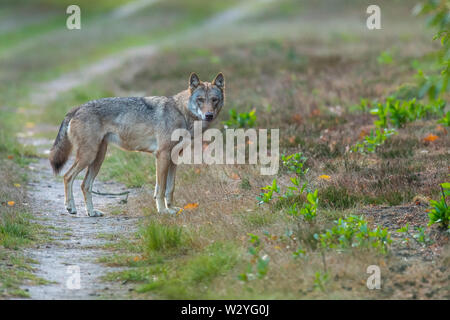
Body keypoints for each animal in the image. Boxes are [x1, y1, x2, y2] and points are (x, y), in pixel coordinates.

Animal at [49, 72, 225, 216]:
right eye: (200, 100)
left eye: (214, 100)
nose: (209, 115)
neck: (182, 113)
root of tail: (76, 108)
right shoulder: (162, 156)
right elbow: (161, 189)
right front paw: (163, 211)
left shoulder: (173, 159)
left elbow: (170, 188)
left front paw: (171, 209)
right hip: (88, 156)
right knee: (67, 176)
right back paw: (71, 208)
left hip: (98, 158)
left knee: (85, 185)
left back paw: (92, 212)